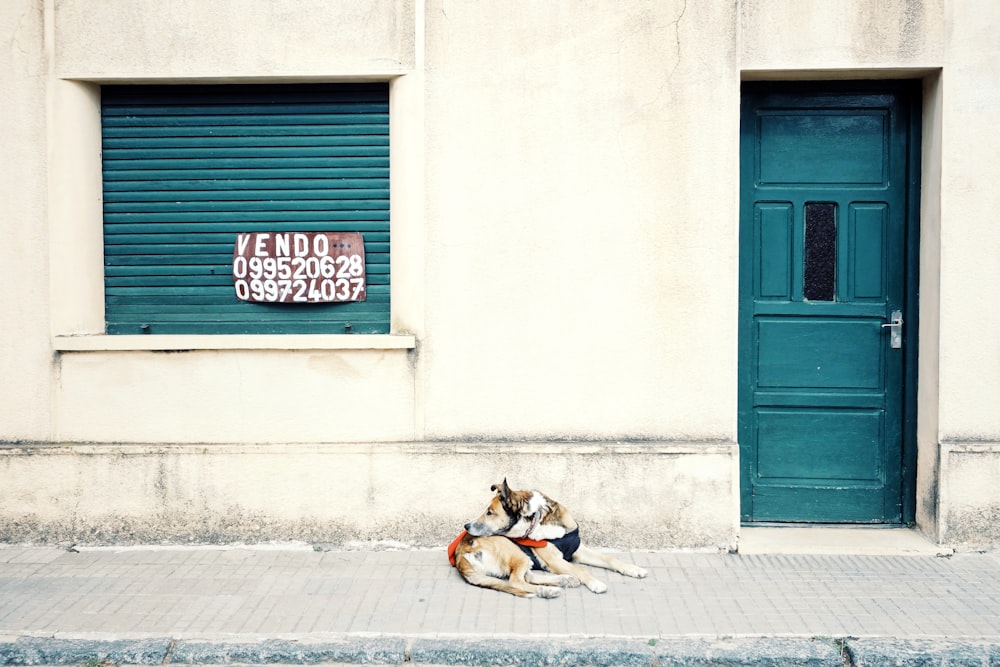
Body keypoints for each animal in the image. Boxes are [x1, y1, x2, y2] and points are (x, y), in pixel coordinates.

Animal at [448, 480, 648, 600]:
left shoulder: (579, 551)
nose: (466, 526)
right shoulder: (555, 560)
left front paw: (633, 569)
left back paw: (564, 581)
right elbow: (581, 570)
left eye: (490, 512)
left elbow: (610, 558)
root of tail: (460, 554)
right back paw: (549, 590)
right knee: (516, 581)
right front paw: (595, 583)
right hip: (514, 550)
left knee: (528, 577)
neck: (538, 519)